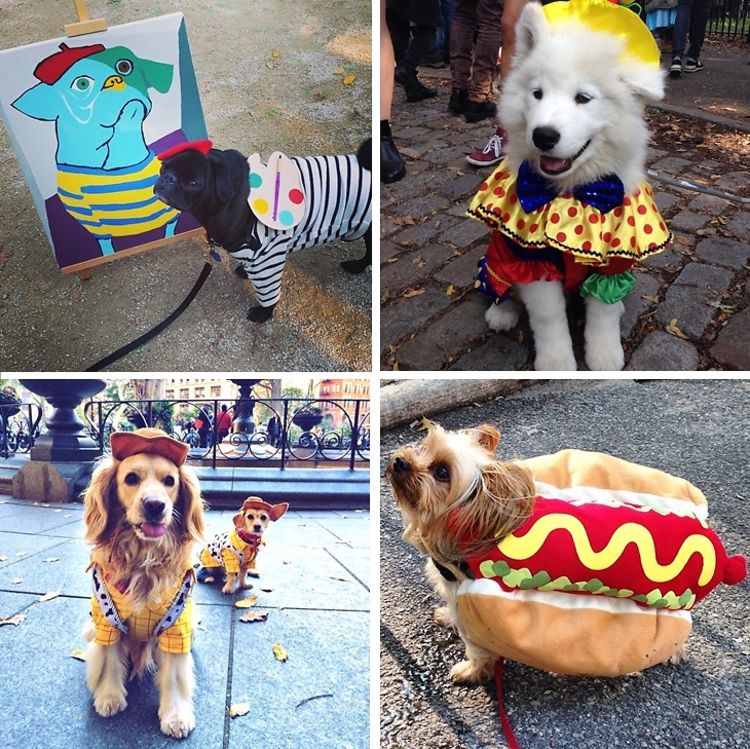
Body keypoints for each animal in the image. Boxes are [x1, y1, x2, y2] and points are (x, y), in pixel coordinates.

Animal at [472, 0, 672, 368]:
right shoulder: (531, 259)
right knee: (497, 283)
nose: (543, 136)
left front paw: (604, 357)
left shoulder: (613, 261)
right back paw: (501, 312)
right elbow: (549, 318)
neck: (574, 194)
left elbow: (603, 313)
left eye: (583, 98)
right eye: (537, 94)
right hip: (499, 252)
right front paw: (556, 363)